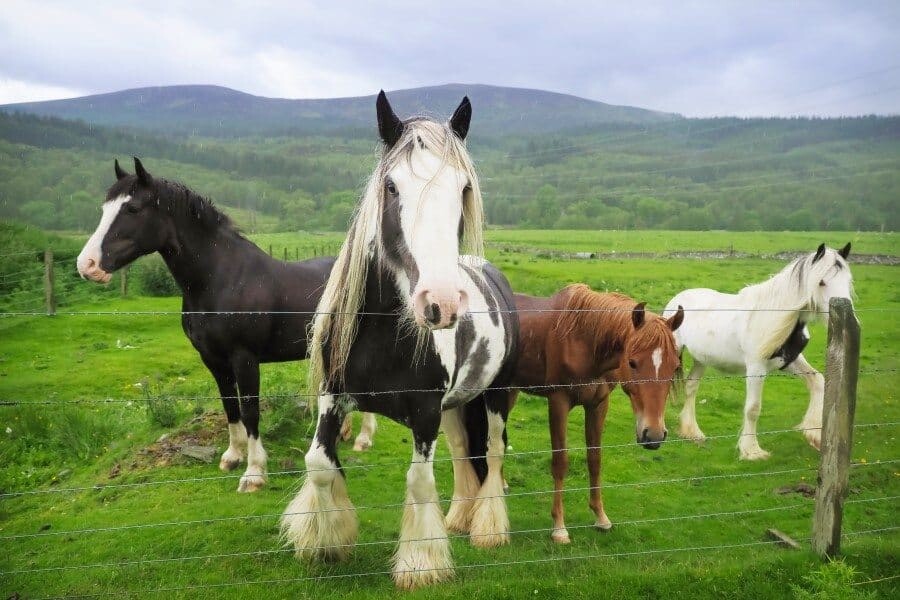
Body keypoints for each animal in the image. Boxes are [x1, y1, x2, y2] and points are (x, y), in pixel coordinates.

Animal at [75, 159, 336, 492]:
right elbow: (230, 406)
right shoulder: (213, 359)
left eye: (132, 208)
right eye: (104, 207)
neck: (221, 279)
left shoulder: (244, 359)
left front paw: (254, 473)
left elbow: (250, 410)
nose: (87, 265)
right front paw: (232, 456)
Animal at [506, 284, 684, 544]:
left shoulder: (599, 404)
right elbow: (560, 462)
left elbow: (595, 459)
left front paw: (601, 516)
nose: (653, 436)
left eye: (675, 366)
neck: (584, 340)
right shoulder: (558, 402)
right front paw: (559, 527)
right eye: (632, 362)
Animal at [664, 244, 856, 460]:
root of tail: (678, 298)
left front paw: (814, 435)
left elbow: (817, 380)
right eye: (821, 282)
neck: (773, 316)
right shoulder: (756, 367)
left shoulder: (790, 360)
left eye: (847, 280)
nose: (848, 316)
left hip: (700, 359)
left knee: (691, 387)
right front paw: (751, 451)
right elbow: (753, 408)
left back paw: (692, 433)